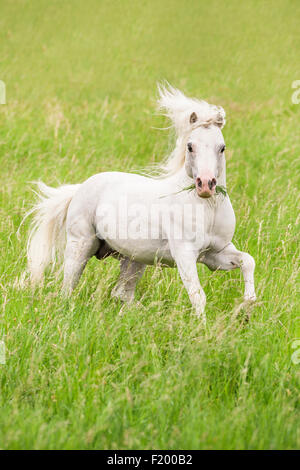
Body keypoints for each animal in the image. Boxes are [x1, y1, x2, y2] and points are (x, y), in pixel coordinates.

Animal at [27, 85, 255, 324]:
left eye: (222, 147)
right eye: (190, 146)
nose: (206, 185)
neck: (207, 209)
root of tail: (80, 188)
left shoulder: (215, 254)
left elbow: (247, 261)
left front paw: (247, 308)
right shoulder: (185, 254)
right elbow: (197, 295)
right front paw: (203, 328)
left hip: (135, 259)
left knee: (121, 293)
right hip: (80, 245)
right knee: (68, 288)